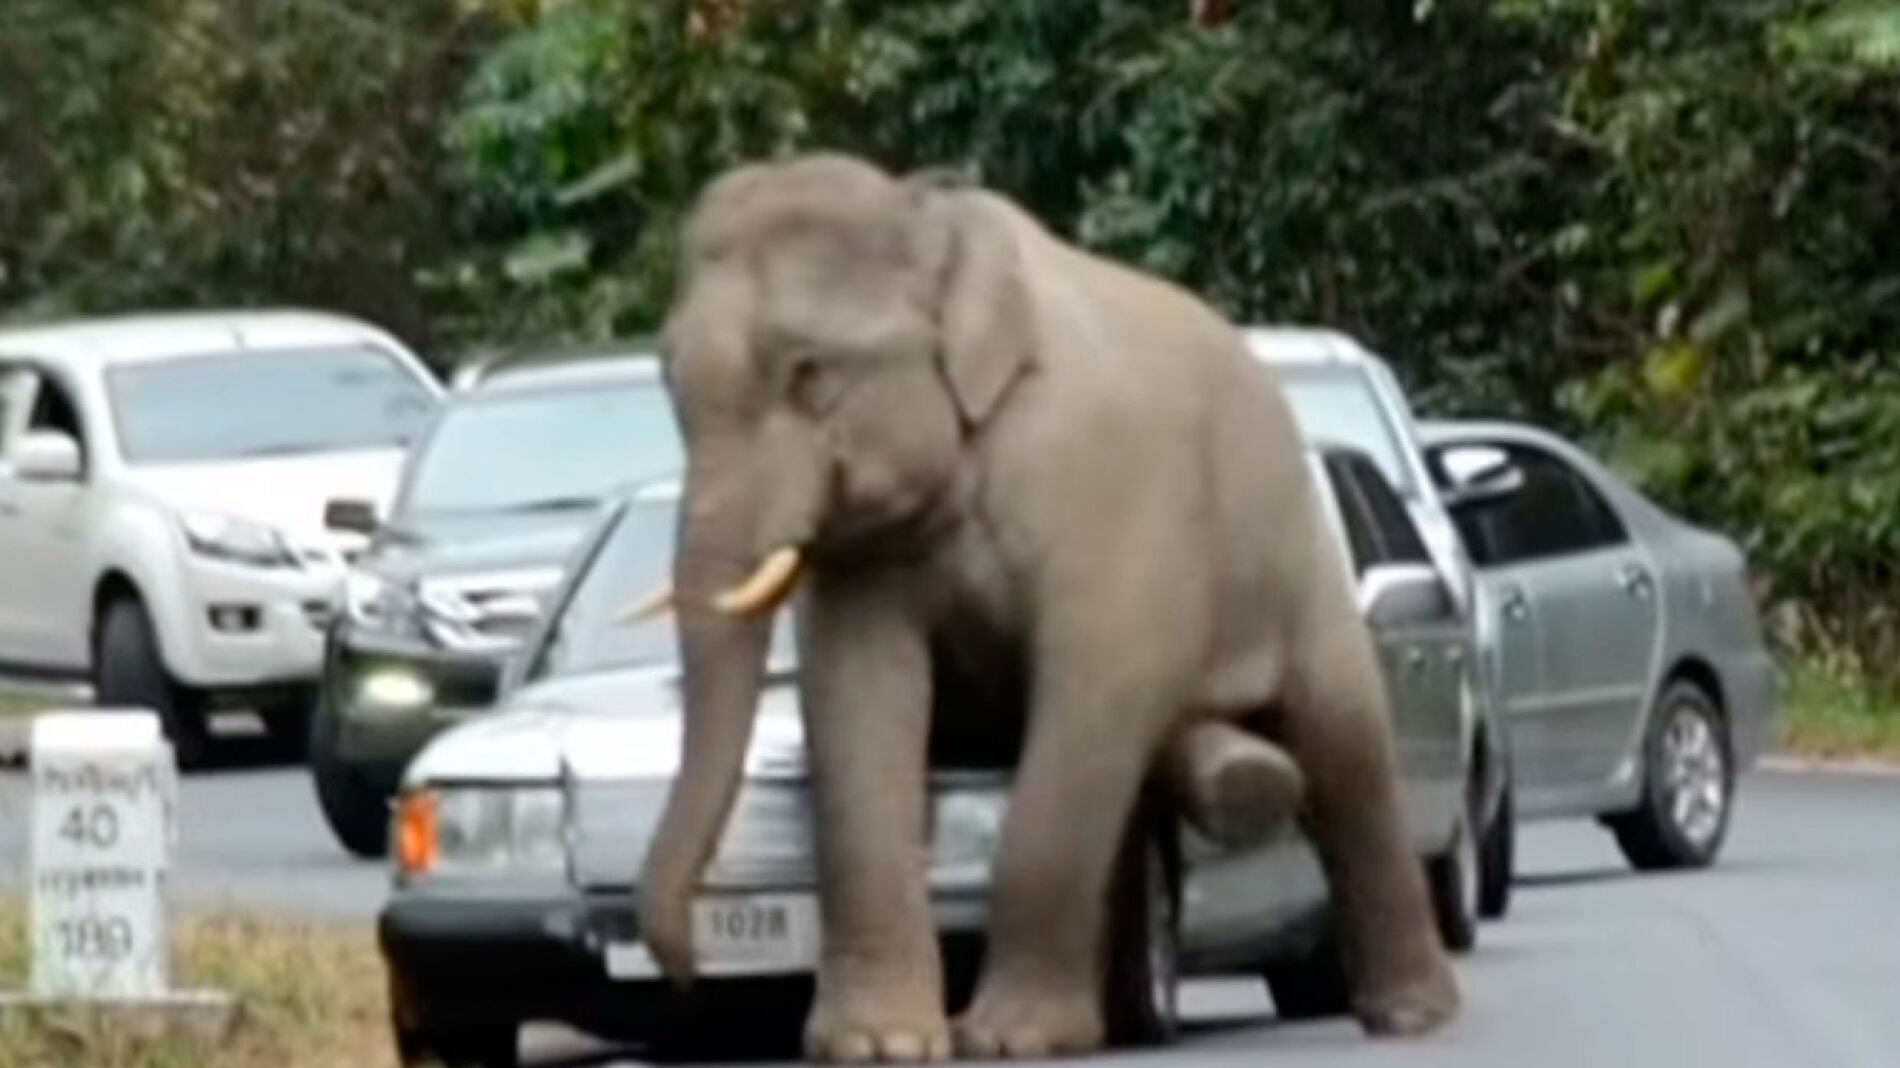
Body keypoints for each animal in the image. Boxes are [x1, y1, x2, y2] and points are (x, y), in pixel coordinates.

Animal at [631, 152, 1460, 1061]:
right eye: (667, 382)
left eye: (809, 373)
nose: (681, 971)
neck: (934, 222)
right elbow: (858, 700)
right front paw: (880, 1045)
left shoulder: (1109, 493)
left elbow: (1093, 696)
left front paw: (1007, 1040)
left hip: (1298, 558)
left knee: (1345, 751)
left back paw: (1412, 1014)